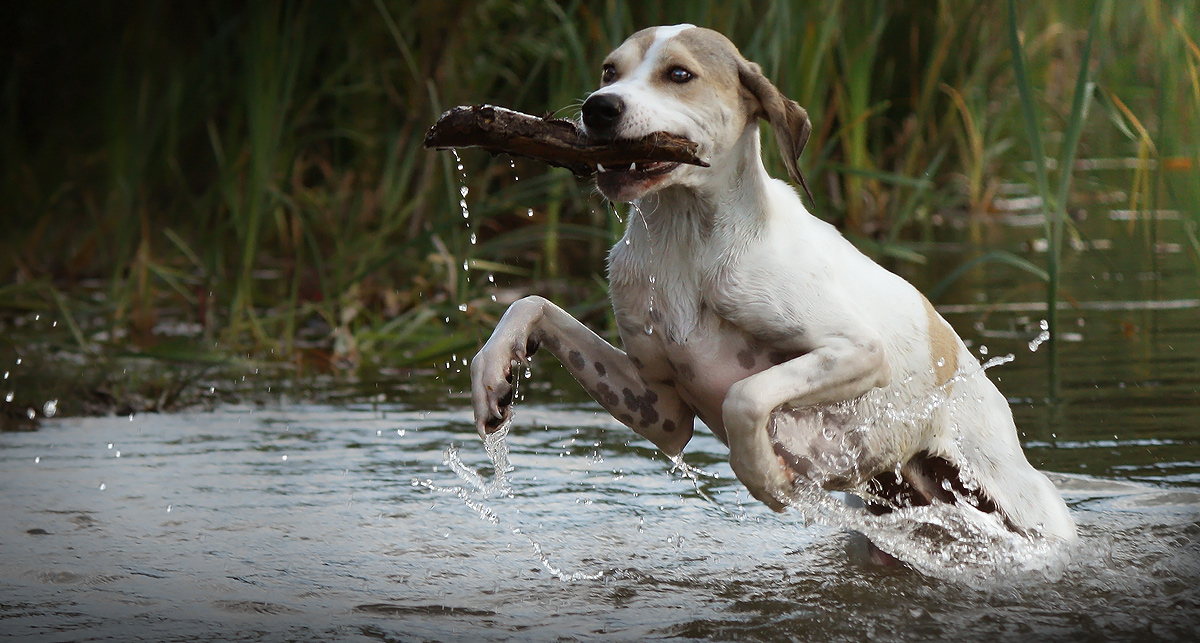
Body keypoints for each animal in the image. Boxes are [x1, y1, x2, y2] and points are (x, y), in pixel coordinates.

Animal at [468, 22, 1080, 539]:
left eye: (679, 74)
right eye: (608, 70)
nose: (599, 109)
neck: (688, 247)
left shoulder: (858, 351)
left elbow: (745, 397)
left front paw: (765, 476)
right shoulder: (662, 412)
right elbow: (532, 302)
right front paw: (494, 375)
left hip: (1027, 513)